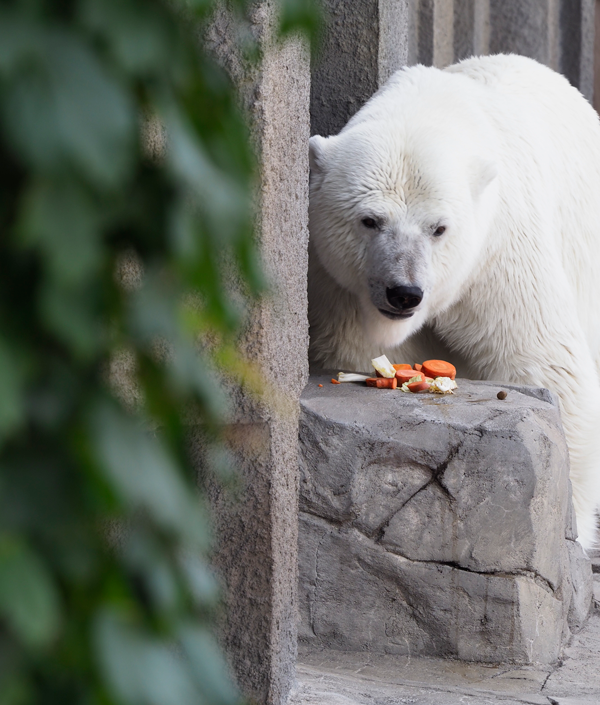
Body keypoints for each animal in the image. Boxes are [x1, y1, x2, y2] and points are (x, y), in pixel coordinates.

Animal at [310, 55, 600, 552]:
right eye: (370, 220)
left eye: (439, 228)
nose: (404, 292)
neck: (433, 108)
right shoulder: (343, 289)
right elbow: (358, 349)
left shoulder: (502, 254)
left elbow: (547, 365)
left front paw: (572, 530)